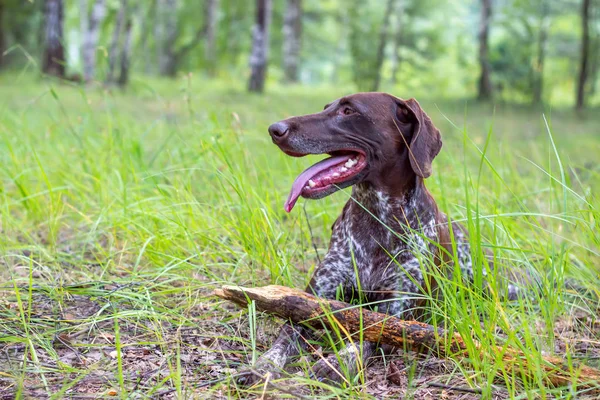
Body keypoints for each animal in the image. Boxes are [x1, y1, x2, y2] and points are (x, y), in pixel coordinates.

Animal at [237, 92, 512, 386]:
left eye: (348, 111)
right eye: (326, 108)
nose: (274, 129)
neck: (376, 219)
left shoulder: (394, 312)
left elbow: (365, 338)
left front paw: (335, 364)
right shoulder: (312, 303)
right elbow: (282, 340)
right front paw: (261, 366)